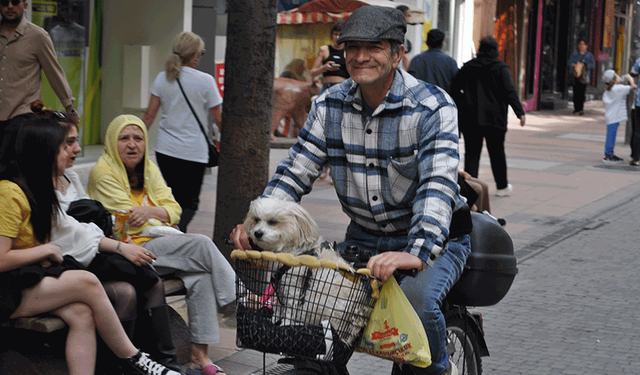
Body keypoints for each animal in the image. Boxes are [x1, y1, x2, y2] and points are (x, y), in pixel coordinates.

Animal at [242, 198, 372, 348]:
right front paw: (275, 320)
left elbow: (289, 311)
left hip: (323, 306)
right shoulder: (281, 287)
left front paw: (285, 325)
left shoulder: (294, 290)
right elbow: (279, 307)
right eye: (256, 219)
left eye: (273, 222)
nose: (257, 233)